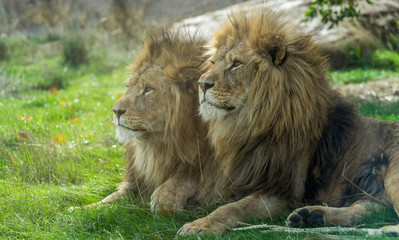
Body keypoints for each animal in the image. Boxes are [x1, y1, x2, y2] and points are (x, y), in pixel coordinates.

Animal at [83, 28, 214, 214]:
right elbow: (111, 196)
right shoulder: (136, 179)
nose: (116, 111)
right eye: (128, 87)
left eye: (148, 89)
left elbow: (188, 176)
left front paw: (164, 198)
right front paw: (79, 209)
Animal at [180, 8, 399, 235]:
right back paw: (311, 216)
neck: (251, 124)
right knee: (366, 210)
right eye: (214, 63)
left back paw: (385, 230)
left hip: (394, 176)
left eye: (236, 64)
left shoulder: (283, 192)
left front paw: (199, 225)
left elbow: (233, 208)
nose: (201, 84)